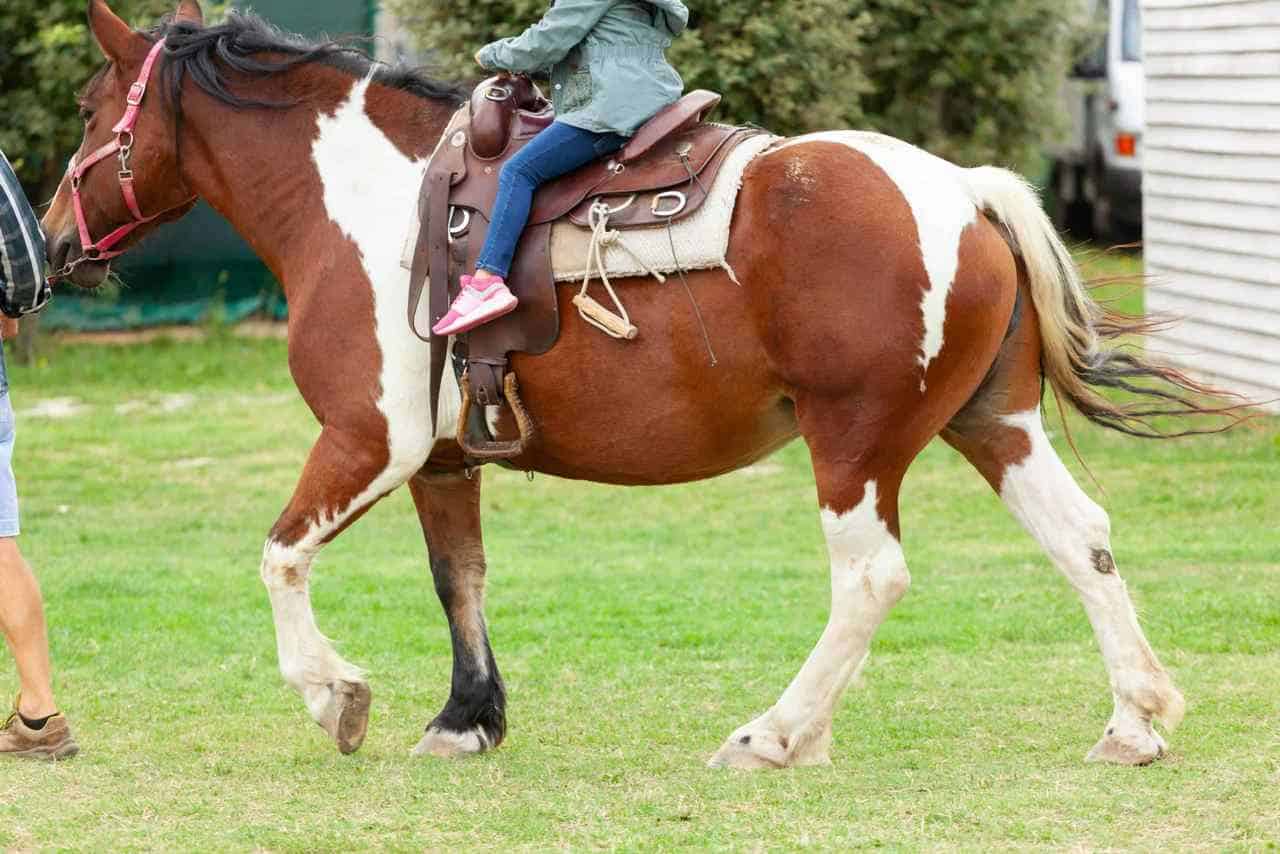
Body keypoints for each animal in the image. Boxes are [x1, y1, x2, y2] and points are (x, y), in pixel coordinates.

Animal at [42, 0, 1238, 768]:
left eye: (92, 111)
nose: (49, 240)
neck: (370, 206)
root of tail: (965, 190)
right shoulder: (440, 457)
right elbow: (458, 580)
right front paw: (467, 717)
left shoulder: (368, 439)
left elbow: (280, 555)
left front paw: (336, 695)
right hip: (993, 424)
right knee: (1080, 538)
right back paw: (1133, 719)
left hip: (855, 444)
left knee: (870, 577)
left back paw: (775, 732)